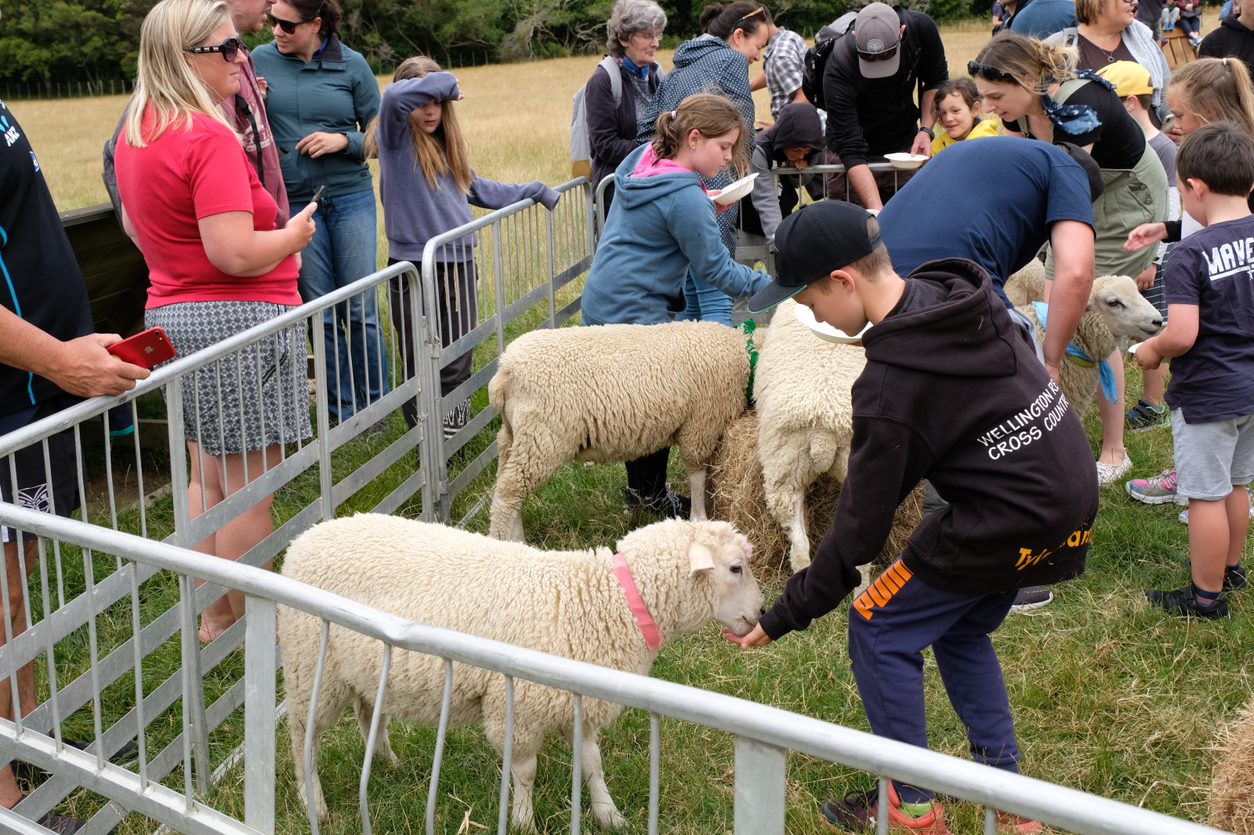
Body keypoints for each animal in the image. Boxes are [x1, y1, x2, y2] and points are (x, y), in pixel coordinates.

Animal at [278, 514, 757, 827]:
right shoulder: (521, 706)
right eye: (736, 567)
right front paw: (523, 819)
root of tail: (301, 541)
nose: (758, 614)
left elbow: (592, 765)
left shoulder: (577, 703)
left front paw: (609, 815)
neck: (602, 601)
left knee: (366, 712)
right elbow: (525, 771)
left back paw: (386, 763)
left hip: (360, 666)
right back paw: (313, 802)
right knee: (303, 738)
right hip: (309, 666)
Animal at [484, 318, 747, 539]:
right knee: (507, 494)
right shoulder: (701, 425)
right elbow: (697, 474)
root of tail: (505, 371)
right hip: (542, 439)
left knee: (507, 489)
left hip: (512, 436)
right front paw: (700, 518)